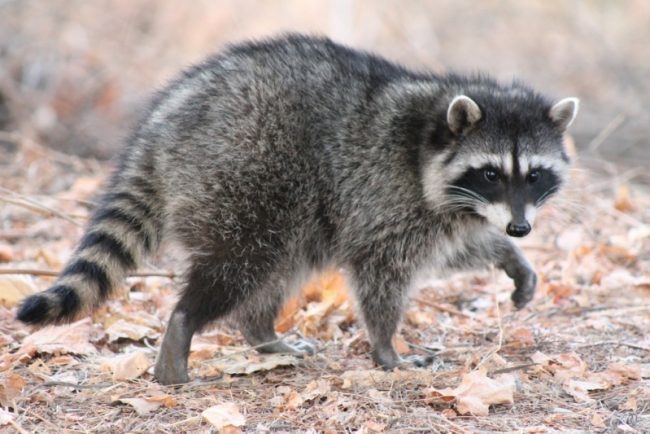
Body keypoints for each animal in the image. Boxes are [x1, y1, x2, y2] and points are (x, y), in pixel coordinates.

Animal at [16, 34, 578, 385]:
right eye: (491, 173)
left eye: (533, 175)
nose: (520, 228)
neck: (433, 130)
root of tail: (161, 124)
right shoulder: (387, 196)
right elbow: (381, 271)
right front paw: (386, 347)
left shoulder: (443, 212)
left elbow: (456, 246)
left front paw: (506, 254)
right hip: (242, 173)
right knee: (241, 264)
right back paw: (186, 325)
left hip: (277, 202)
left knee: (279, 267)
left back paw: (261, 333)